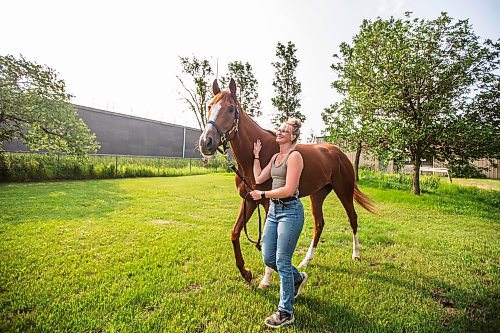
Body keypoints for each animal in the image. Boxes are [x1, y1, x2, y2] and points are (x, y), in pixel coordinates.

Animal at [197, 78, 374, 286]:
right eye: (209, 106)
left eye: (231, 109)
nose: (206, 142)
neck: (253, 159)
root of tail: (339, 153)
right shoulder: (249, 200)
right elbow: (235, 233)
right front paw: (245, 272)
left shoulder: (267, 203)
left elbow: (267, 239)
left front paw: (265, 279)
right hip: (318, 195)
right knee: (319, 224)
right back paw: (306, 261)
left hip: (343, 191)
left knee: (352, 218)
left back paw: (356, 255)